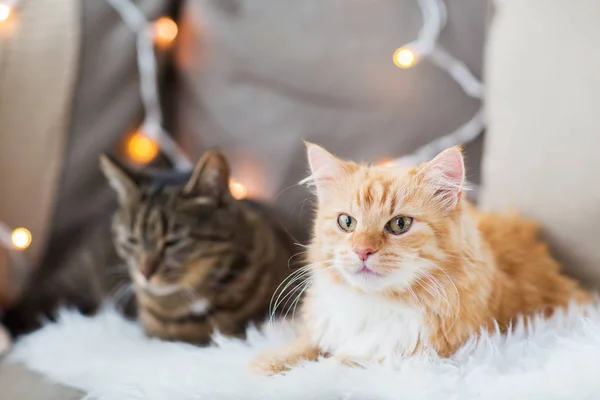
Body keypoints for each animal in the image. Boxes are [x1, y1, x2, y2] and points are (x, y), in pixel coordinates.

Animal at [251, 144, 588, 376]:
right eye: (347, 222)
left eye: (400, 225)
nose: (362, 251)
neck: (376, 302)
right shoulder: (327, 328)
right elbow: (300, 347)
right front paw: (265, 364)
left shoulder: (395, 352)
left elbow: (330, 365)